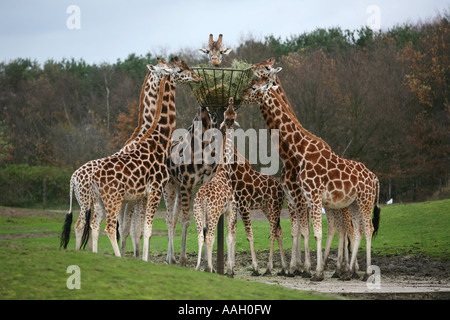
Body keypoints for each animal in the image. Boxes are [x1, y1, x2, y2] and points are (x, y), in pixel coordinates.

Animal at [60, 58, 172, 251]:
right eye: (162, 69)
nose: (172, 72)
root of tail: (73, 177)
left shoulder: (132, 197)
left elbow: (129, 228)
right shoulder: (136, 196)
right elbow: (130, 228)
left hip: (87, 201)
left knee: (90, 225)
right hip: (87, 200)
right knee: (81, 225)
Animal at [88, 57, 200, 262]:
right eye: (180, 70)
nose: (197, 77)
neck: (158, 137)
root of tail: (92, 177)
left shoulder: (143, 194)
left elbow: (138, 229)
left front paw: (140, 257)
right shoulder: (154, 189)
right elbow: (145, 229)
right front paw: (144, 260)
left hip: (101, 200)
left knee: (94, 225)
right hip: (114, 199)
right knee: (109, 227)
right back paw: (118, 257)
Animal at [193, 97, 241, 276]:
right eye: (228, 113)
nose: (231, 100)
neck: (225, 172)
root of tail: (202, 197)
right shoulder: (230, 210)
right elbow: (230, 237)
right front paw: (230, 270)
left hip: (198, 212)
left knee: (201, 235)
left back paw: (199, 267)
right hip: (212, 213)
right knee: (209, 236)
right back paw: (210, 268)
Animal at [243, 75, 380, 280]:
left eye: (253, 87)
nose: (240, 96)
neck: (300, 151)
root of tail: (375, 178)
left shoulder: (311, 198)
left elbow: (314, 233)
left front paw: (314, 272)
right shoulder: (302, 199)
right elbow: (300, 231)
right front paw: (300, 268)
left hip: (365, 201)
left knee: (366, 229)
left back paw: (364, 272)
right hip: (353, 203)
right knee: (356, 231)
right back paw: (349, 272)